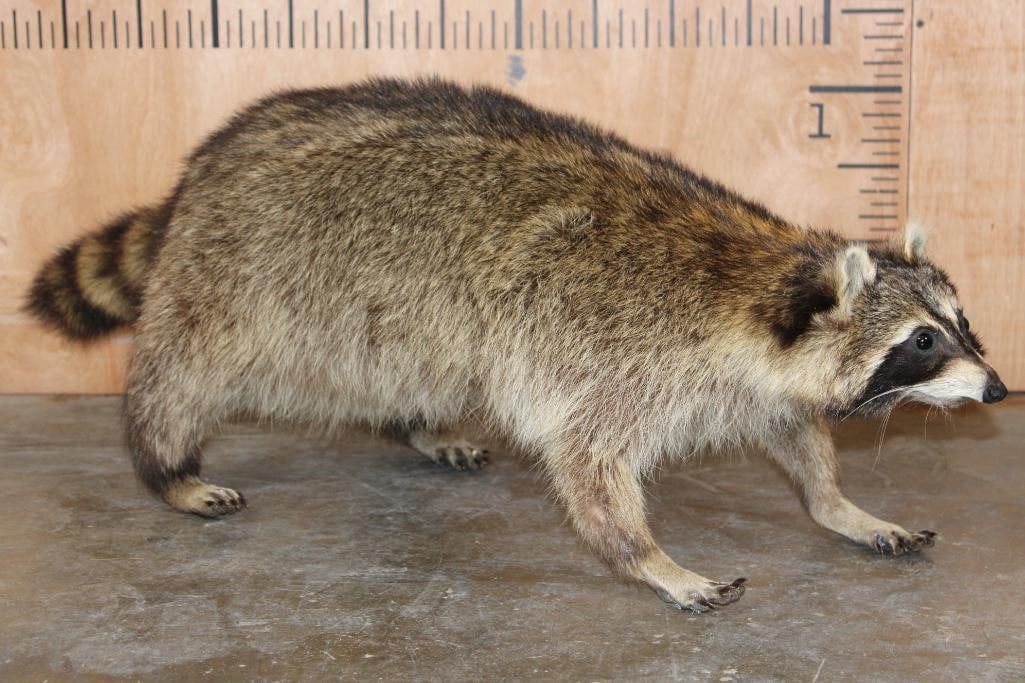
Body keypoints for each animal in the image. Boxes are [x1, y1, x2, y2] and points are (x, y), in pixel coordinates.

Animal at [26, 78, 1006, 612]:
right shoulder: (624, 360)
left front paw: (837, 504)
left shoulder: (751, 383)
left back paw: (414, 422)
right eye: (921, 341)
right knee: (187, 366)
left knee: (401, 363)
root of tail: (203, 164)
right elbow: (587, 461)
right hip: (242, 271)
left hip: (398, 312)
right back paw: (165, 462)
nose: (997, 390)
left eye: (961, 323)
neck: (765, 278)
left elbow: (796, 438)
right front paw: (648, 557)